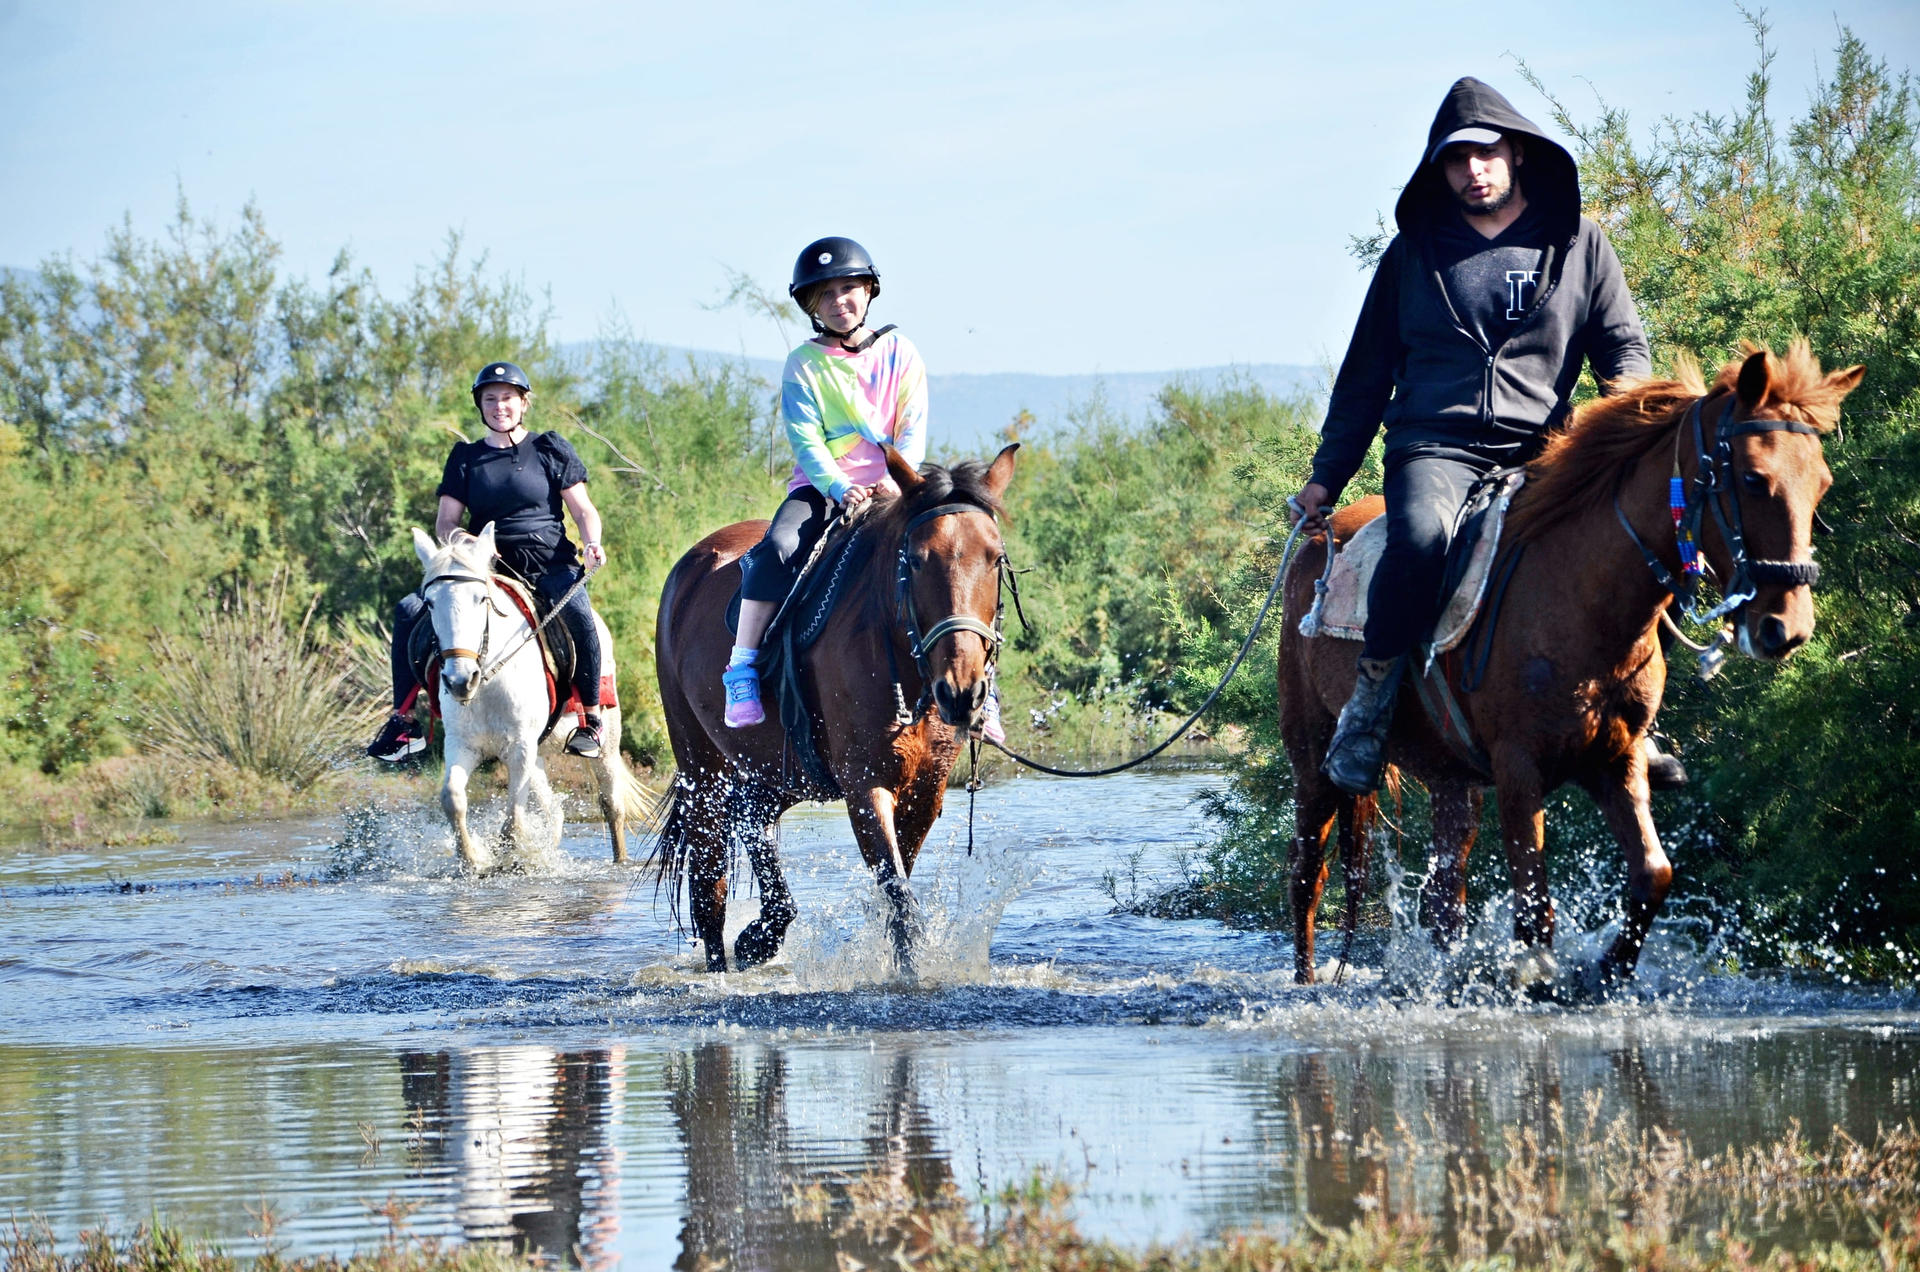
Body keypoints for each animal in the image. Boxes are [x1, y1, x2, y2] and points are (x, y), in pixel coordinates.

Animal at [412, 524, 653, 872]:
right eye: (430, 603)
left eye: (481, 598)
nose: (460, 681)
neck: (491, 679)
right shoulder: (464, 744)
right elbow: (452, 798)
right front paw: (471, 860)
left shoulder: (520, 746)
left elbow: (513, 819)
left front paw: (510, 860)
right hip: (537, 752)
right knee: (554, 810)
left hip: (606, 739)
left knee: (611, 803)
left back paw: (619, 860)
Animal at [651, 444, 1019, 974]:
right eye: (917, 560)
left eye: (995, 559)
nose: (962, 691)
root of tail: (688, 568)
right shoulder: (866, 787)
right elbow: (899, 898)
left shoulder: (924, 792)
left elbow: (896, 891)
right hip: (702, 774)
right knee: (710, 892)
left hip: (775, 773)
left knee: (754, 825)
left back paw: (762, 936)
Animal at [1280, 340, 1863, 992]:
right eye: (1754, 479)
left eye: (1822, 484)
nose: (1786, 628)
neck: (1583, 599)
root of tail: (1317, 539)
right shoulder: (1519, 768)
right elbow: (1536, 911)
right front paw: (1541, 980)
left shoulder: (1616, 759)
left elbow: (1653, 874)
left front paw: (1607, 972)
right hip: (1313, 759)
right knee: (1308, 876)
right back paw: (1307, 981)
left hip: (1451, 778)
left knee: (1442, 897)